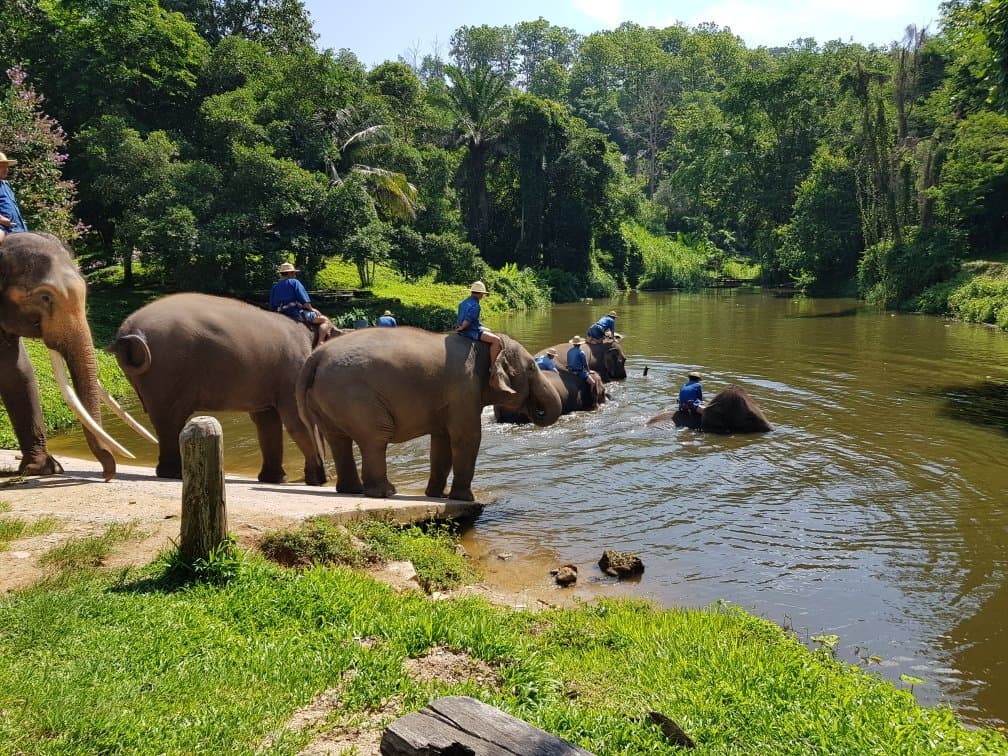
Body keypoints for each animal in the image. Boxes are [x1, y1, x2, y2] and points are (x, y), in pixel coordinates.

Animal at [108, 292, 339, 485]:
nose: (327, 476)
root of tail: (127, 333)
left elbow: (267, 421)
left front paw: (275, 480)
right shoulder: (293, 370)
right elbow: (297, 420)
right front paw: (320, 481)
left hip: (151, 376)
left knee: (164, 419)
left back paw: (169, 472)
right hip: (166, 369)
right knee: (171, 418)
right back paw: (174, 474)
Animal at [296, 327, 563, 501]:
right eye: (532, 368)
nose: (534, 410)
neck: (485, 345)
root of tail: (315, 356)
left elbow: (442, 443)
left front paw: (437, 495)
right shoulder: (464, 390)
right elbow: (467, 438)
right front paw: (465, 499)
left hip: (326, 398)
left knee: (338, 439)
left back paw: (351, 490)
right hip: (354, 395)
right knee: (375, 437)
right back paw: (385, 492)